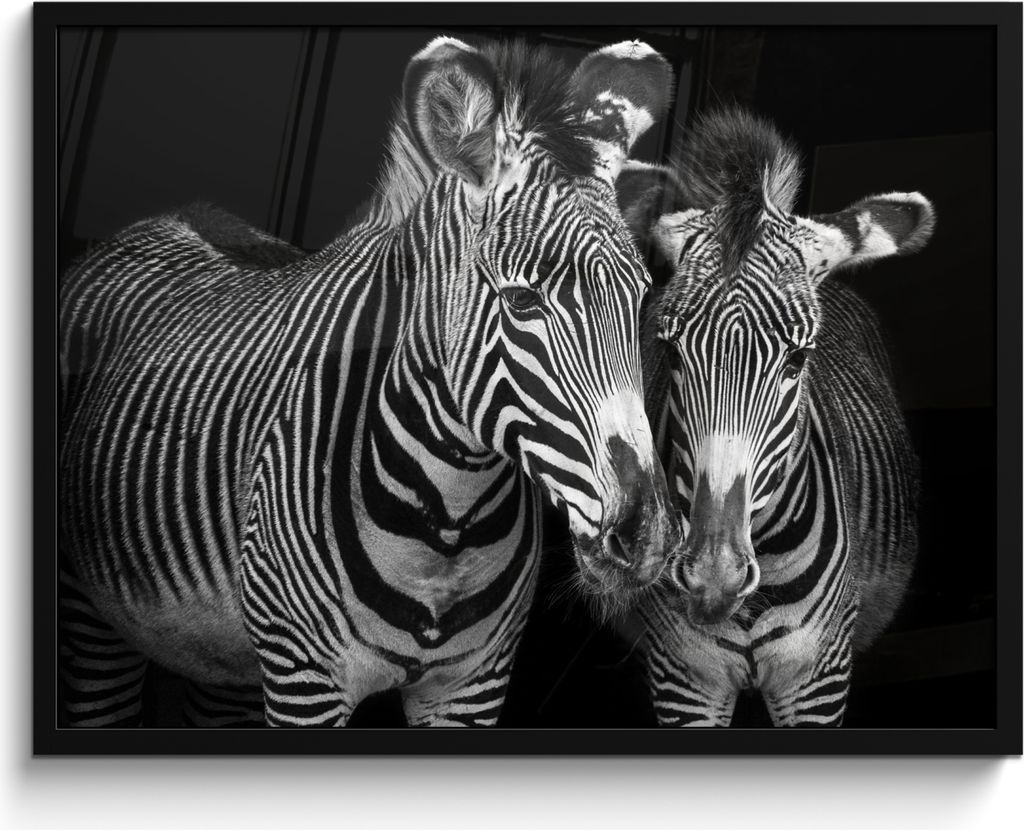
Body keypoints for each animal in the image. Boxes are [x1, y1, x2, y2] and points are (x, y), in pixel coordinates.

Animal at [58, 37, 680, 728]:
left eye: (640, 301)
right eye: (521, 301)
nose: (647, 537)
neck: (447, 527)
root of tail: (173, 216)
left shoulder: (472, 686)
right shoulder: (303, 679)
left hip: (223, 655)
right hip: (91, 614)